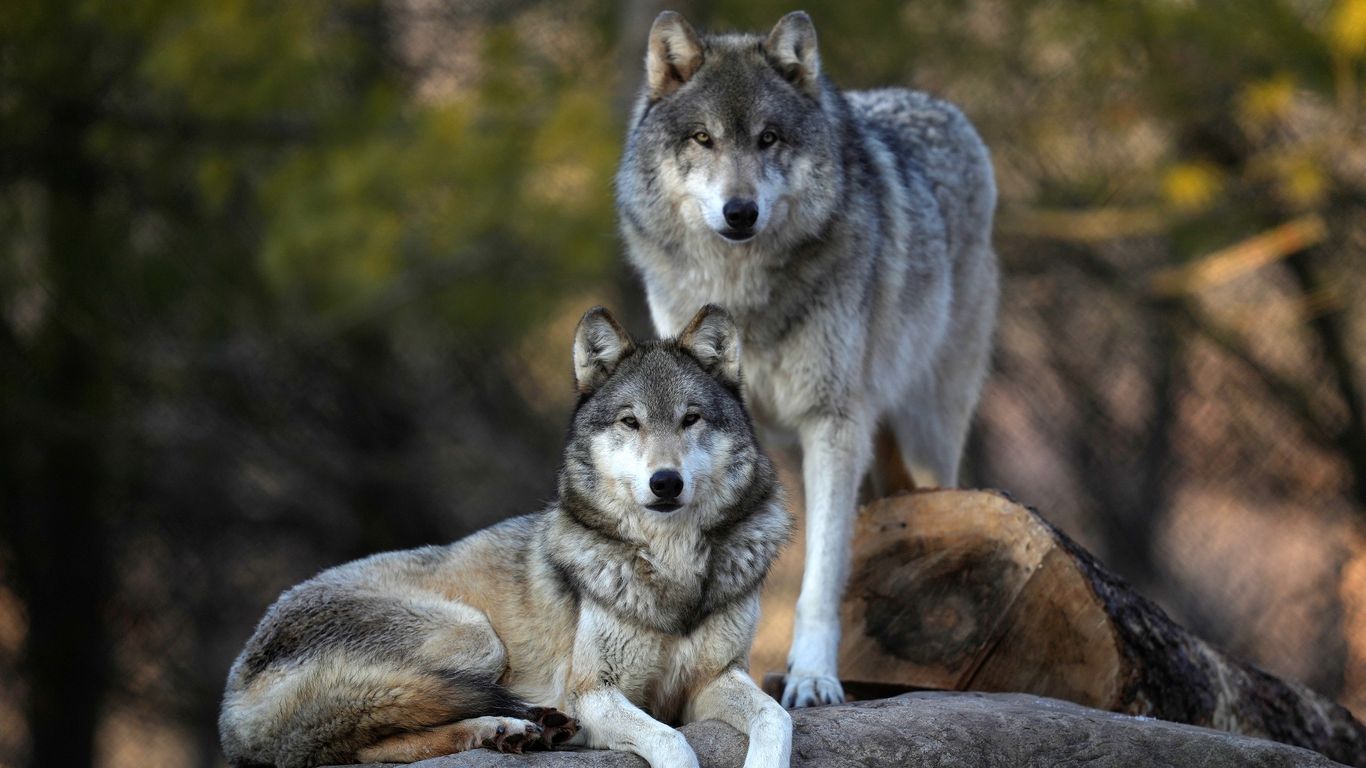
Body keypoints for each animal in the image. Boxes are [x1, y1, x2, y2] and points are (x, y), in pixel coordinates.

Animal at [218, 305, 794, 768]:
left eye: (691, 418)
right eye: (630, 422)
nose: (666, 482)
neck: (671, 570)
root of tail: (230, 708)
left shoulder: (713, 680)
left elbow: (776, 717)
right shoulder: (592, 693)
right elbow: (673, 742)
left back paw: (516, 732)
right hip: (475, 639)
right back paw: (511, 728)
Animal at [617, 11, 999, 708]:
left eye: (768, 138)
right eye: (704, 139)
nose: (740, 211)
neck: (742, 299)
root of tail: (942, 106)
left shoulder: (833, 422)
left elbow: (821, 574)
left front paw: (813, 677)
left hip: (929, 426)